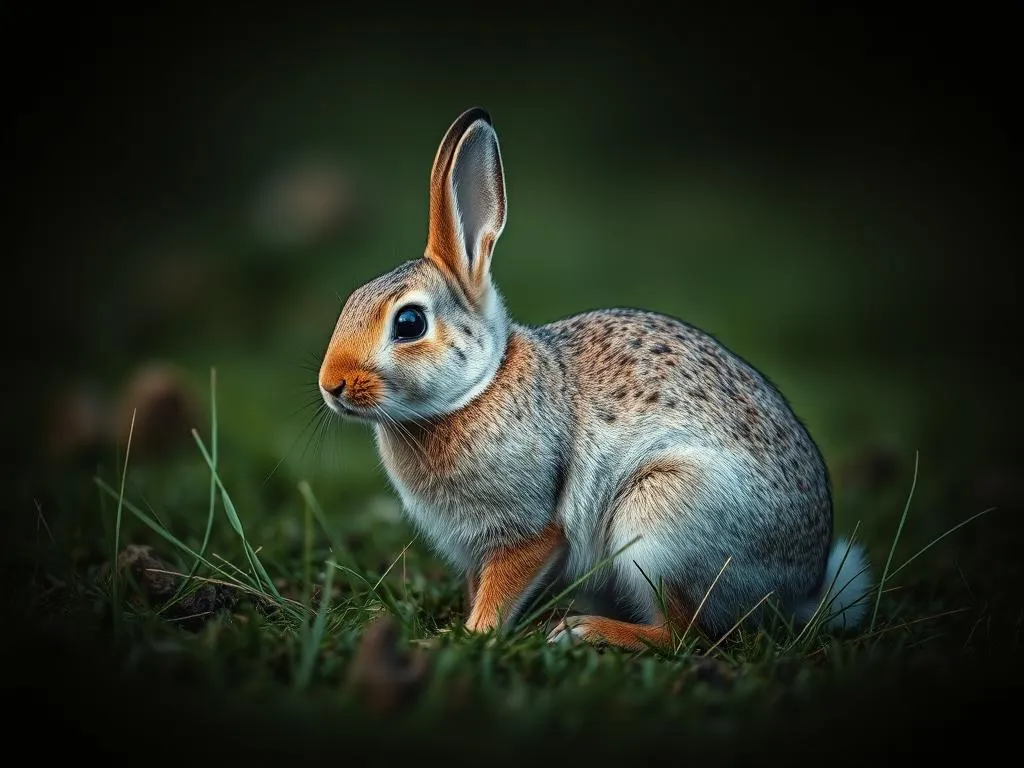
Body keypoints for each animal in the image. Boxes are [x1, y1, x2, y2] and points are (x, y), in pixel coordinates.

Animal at [319, 107, 872, 651]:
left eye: (410, 323)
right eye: (350, 303)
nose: (332, 385)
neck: (476, 389)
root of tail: (797, 588)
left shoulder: (531, 529)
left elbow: (505, 583)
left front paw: (472, 635)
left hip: (663, 522)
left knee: (682, 635)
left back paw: (583, 631)